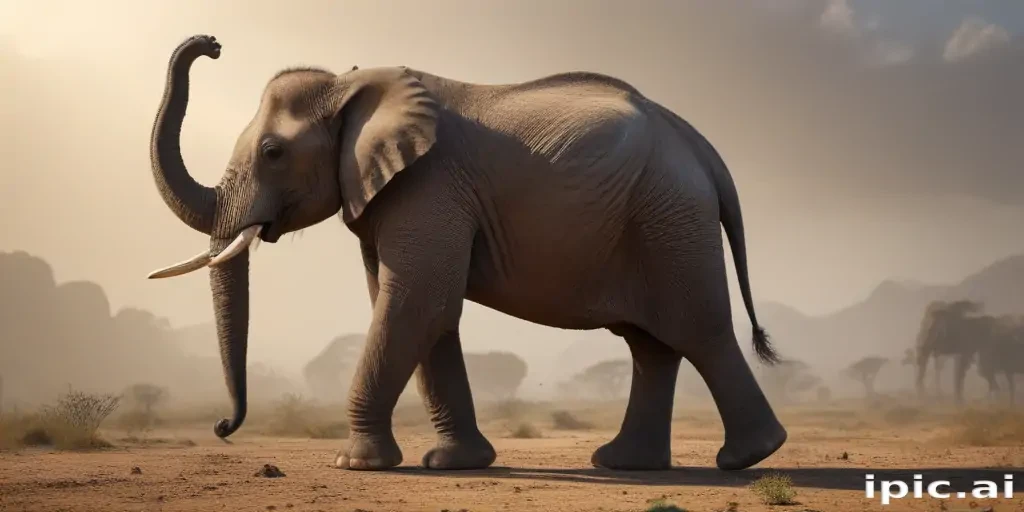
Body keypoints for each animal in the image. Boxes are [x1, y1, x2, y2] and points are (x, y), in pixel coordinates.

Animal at [145, 35, 787, 472]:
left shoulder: (429, 186)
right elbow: (424, 311)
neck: (353, 83)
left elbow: (416, 303)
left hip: (669, 217)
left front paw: (356, 465)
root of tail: (703, 149)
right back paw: (623, 463)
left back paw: (748, 458)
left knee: (696, 328)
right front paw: (451, 464)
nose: (222, 426)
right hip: (653, 219)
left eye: (273, 152)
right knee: (650, 344)